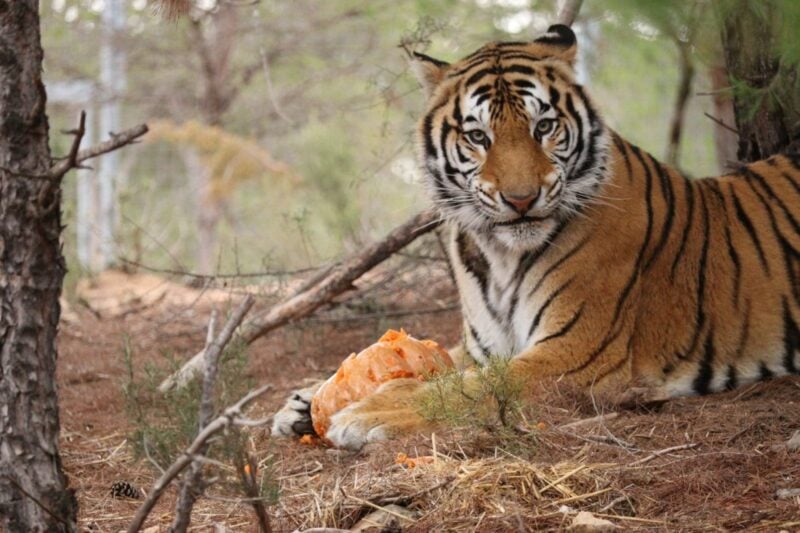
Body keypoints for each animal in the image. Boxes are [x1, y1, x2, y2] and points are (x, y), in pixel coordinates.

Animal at [272, 24, 800, 450]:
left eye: (543, 127)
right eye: (478, 136)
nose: (521, 199)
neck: (498, 253)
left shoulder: (574, 352)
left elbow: (469, 387)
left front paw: (365, 412)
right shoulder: (484, 346)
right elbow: (442, 365)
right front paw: (304, 402)